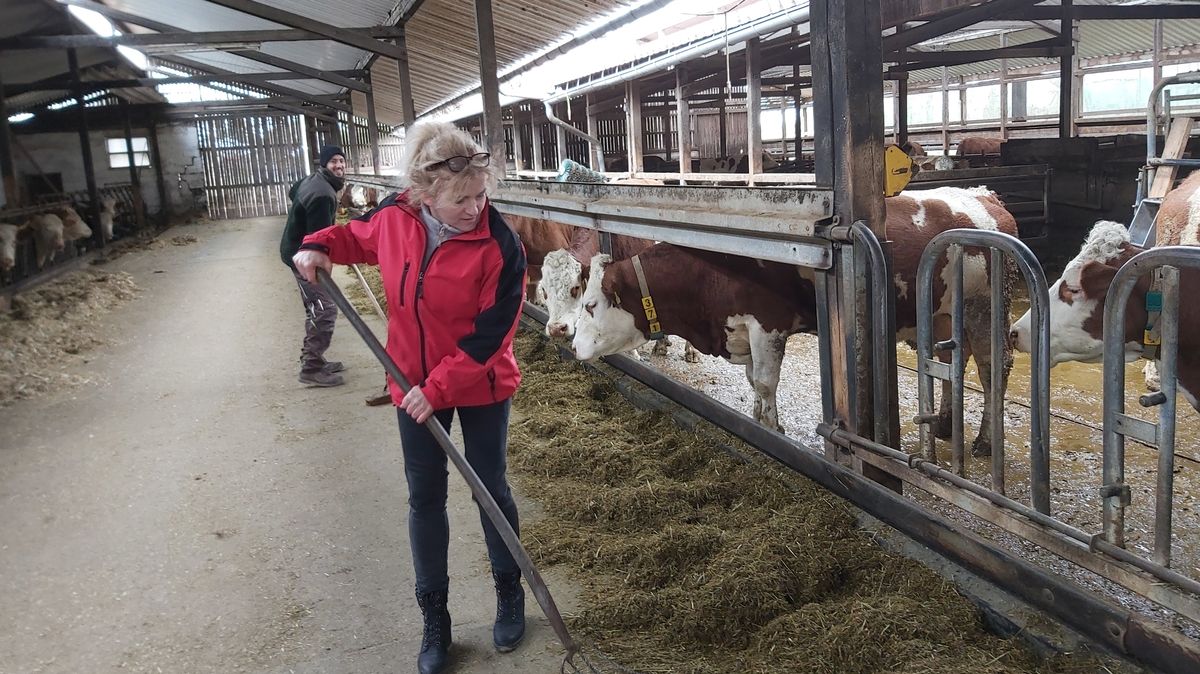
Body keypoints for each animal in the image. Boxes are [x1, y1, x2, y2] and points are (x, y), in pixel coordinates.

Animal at [571, 183, 1012, 450]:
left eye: (590, 305)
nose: (572, 345)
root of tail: (984, 195)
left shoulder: (768, 325)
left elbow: (766, 382)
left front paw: (772, 429)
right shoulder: (740, 329)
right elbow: (754, 381)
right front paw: (758, 419)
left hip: (985, 305)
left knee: (993, 368)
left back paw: (986, 439)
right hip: (942, 314)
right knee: (952, 359)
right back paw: (943, 423)